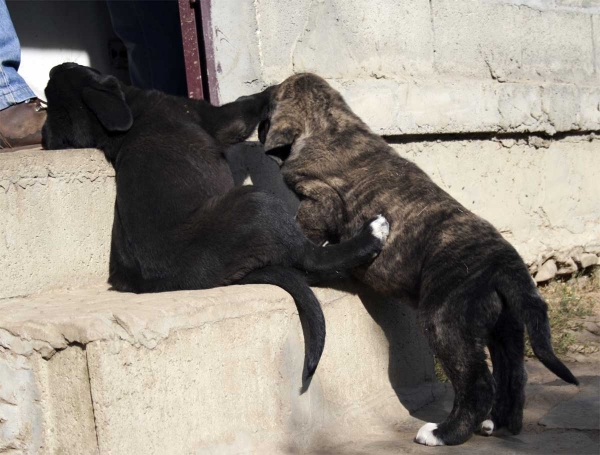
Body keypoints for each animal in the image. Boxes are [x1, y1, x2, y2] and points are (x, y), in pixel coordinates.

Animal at [42, 64, 390, 382]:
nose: (57, 65)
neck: (126, 122)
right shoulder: (218, 119)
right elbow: (249, 102)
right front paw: (276, 86)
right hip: (256, 203)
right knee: (310, 259)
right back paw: (369, 236)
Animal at [256, 73, 576, 448]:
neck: (333, 121)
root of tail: (506, 265)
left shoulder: (320, 200)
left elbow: (307, 235)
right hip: (504, 326)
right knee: (513, 372)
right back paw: (499, 423)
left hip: (445, 321)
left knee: (478, 382)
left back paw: (444, 433)